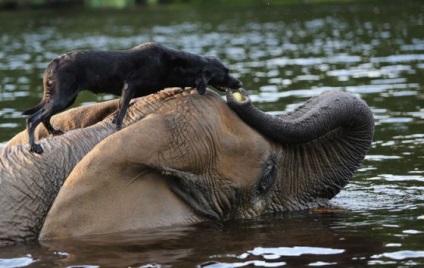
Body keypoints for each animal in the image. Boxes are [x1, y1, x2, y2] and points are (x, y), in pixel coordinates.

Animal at [22, 42, 242, 154]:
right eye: (225, 72)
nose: (239, 83)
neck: (174, 63)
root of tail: (52, 64)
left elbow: (120, 110)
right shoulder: (129, 86)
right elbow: (121, 113)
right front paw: (117, 130)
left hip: (61, 98)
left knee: (44, 117)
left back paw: (55, 133)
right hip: (64, 97)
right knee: (33, 119)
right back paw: (34, 146)